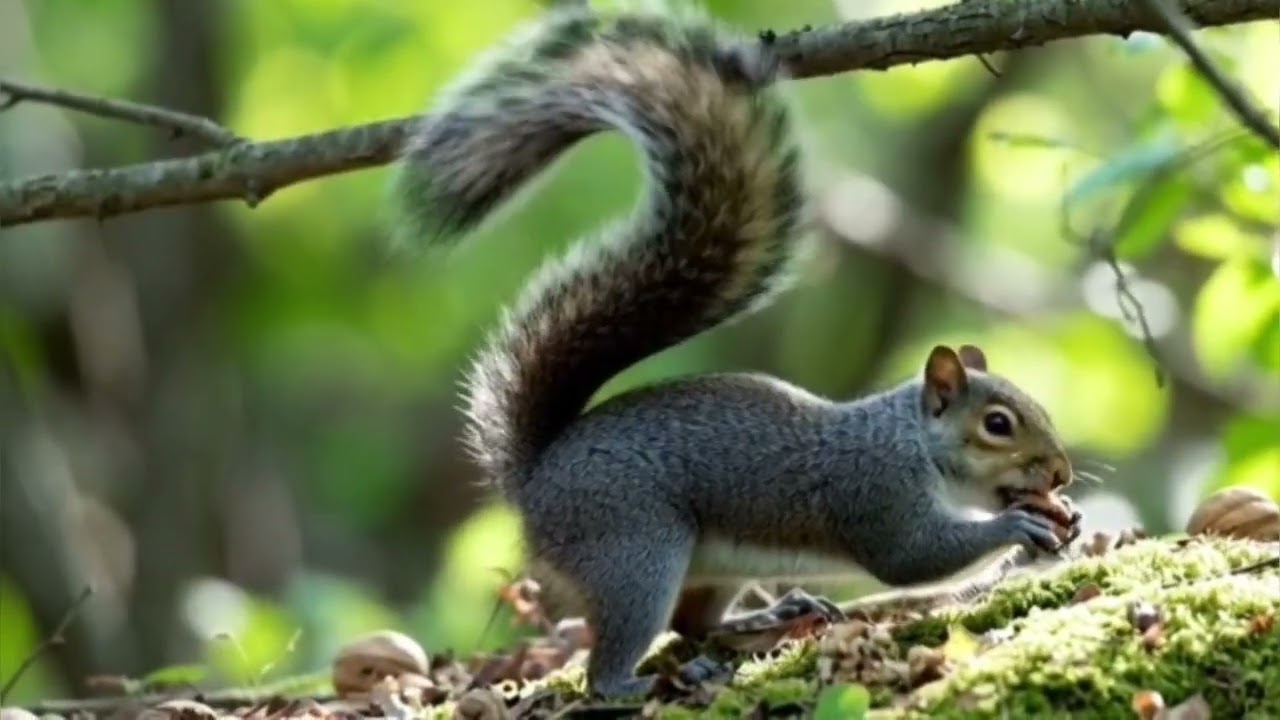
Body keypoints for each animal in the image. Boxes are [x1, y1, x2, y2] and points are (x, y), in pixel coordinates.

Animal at [392, 2, 1082, 699]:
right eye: (998, 424)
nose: (1061, 475)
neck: (911, 443)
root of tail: (533, 481)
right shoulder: (876, 494)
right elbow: (912, 559)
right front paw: (1016, 529)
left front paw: (1064, 522)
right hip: (635, 551)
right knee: (619, 654)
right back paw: (637, 683)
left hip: (713, 565)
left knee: (693, 623)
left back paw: (772, 614)